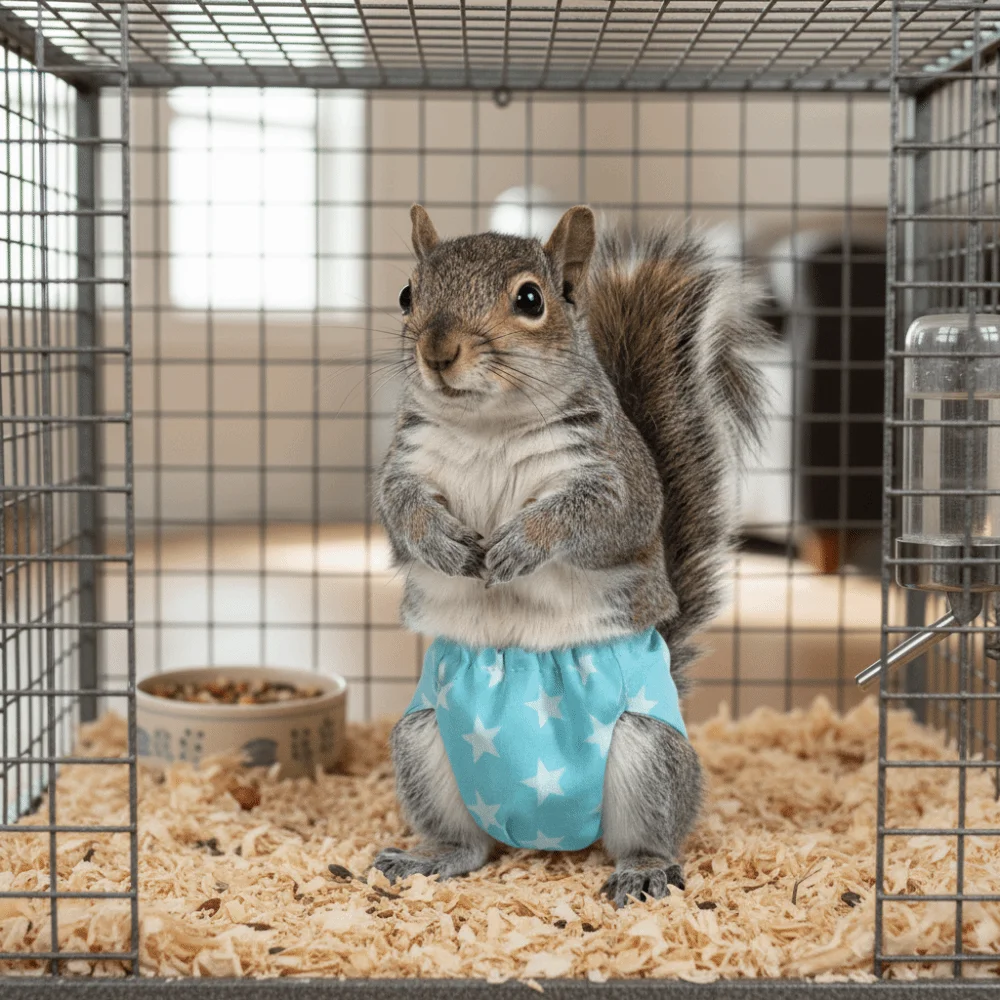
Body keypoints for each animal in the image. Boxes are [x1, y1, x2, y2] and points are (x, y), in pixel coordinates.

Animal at [371, 204, 768, 906]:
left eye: (531, 299)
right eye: (407, 294)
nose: (437, 352)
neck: (489, 427)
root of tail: (542, 831)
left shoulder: (616, 480)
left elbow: (594, 520)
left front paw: (521, 545)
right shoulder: (404, 467)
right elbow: (401, 515)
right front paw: (443, 542)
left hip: (647, 749)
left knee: (649, 831)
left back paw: (644, 869)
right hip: (423, 740)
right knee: (470, 844)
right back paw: (431, 858)